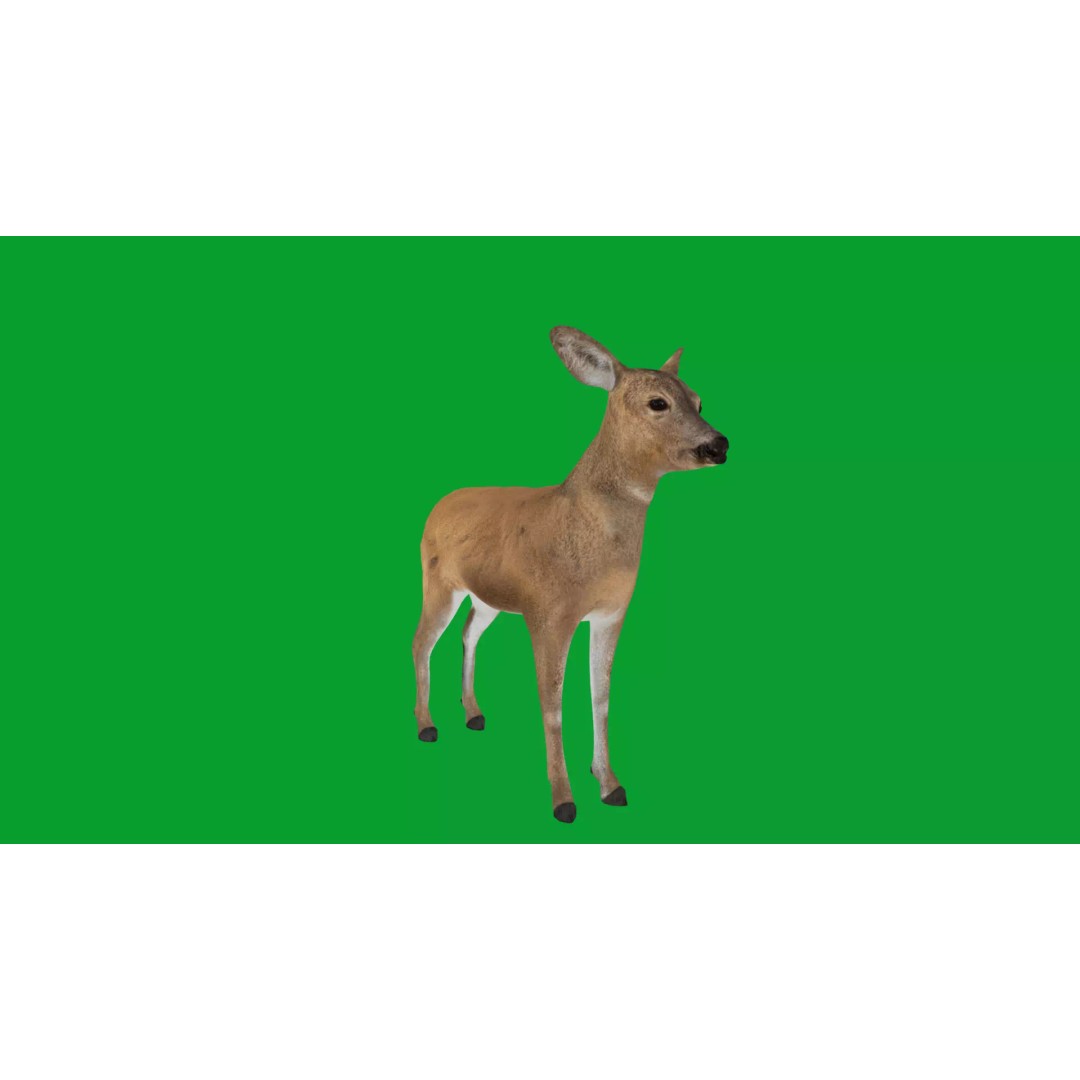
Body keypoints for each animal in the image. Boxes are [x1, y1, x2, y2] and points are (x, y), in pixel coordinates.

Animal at [412, 327, 729, 823]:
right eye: (658, 402)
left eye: (698, 399)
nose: (719, 444)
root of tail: (438, 503)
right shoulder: (548, 611)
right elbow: (552, 703)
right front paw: (564, 800)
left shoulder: (611, 613)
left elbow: (600, 697)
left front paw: (611, 785)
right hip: (438, 581)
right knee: (422, 640)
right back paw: (427, 726)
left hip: (486, 597)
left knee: (467, 633)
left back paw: (474, 714)